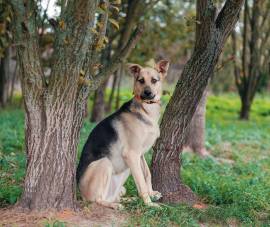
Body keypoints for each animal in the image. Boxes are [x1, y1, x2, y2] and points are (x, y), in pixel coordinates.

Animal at [76, 59, 169, 209]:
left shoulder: (140, 154)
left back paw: (129, 200)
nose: (147, 93)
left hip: (125, 172)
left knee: (116, 196)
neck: (146, 110)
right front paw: (149, 204)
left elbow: (147, 174)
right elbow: (141, 183)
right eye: (141, 80)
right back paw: (114, 205)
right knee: (97, 199)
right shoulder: (132, 153)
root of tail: (80, 194)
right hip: (105, 163)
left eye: (154, 80)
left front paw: (152, 193)